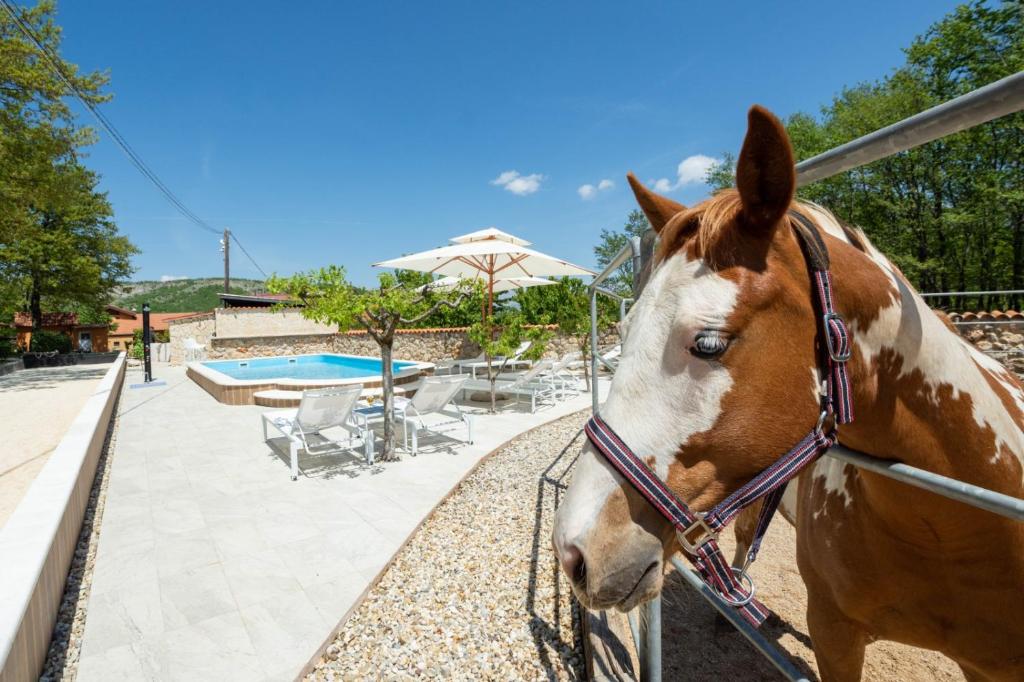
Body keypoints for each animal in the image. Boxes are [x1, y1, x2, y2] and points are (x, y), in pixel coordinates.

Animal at [552, 105, 1024, 681]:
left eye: (708, 343)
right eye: (623, 330)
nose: (574, 551)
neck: (955, 524)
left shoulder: (992, 662)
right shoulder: (834, 634)